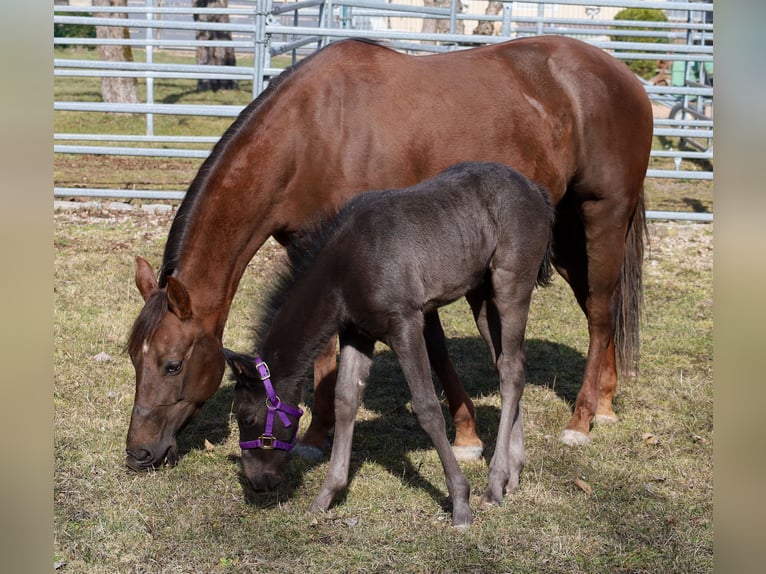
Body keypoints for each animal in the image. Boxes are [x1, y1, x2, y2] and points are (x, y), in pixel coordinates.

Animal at [126, 36, 656, 472]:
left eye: (172, 364)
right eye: (134, 357)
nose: (139, 452)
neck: (314, 133)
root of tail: (623, 75)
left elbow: (433, 348)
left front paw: (465, 436)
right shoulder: (316, 251)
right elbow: (326, 352)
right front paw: (318, 436)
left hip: (603, 216)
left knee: (601, 312)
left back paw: (581, 421)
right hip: (562, 235)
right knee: (599, 306)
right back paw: (606, 404)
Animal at [225, 163, 556, 532]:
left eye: (247, 416)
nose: (257, 482)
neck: (346, 267)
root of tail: (535, 189)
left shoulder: (406, 324)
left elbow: (427, 407)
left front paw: (460, 503)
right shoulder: (357, 333)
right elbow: (345, 401)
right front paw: (325, 497)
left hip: (511, 285)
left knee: (510, 370)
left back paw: (495, 483)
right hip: (482, 296)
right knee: (509, 364)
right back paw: (513, 473)